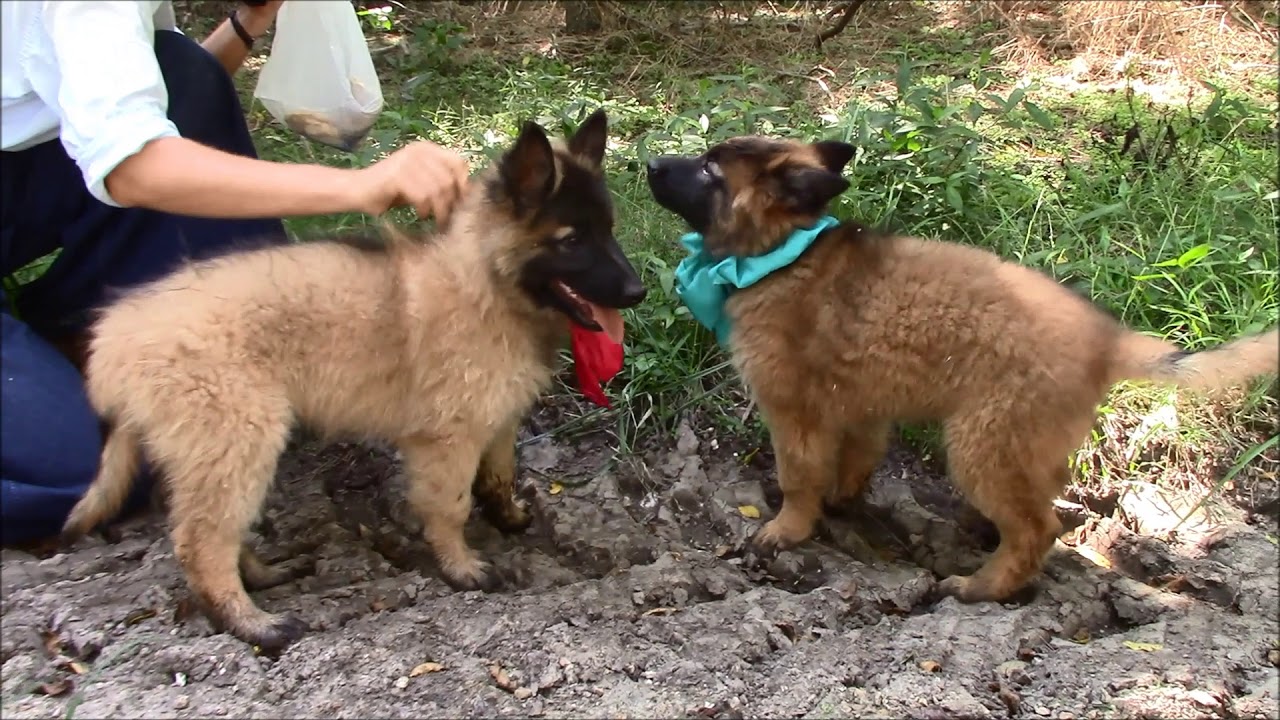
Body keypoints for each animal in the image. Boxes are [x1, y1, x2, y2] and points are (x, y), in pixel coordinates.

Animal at [61, 109, 645, 648]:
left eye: (610, 230)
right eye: (571, 241)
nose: (638, 293)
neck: (488, 284)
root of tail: (114, 337)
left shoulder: (496, 417)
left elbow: (497, 476)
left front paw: (510, 519)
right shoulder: (447, 439)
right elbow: (450, 506)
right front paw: (461, 567)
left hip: (214, 454)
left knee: (220, 530)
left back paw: (263, 576)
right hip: (238, 438)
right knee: (200, 542)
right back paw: (252, 623)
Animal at [650, 133, 1280, 599]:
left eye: (709, 172)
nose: (650, 161)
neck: (784, 255)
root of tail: (1110, 340)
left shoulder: (794, 410)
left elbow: (798, 477)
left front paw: (788, 529)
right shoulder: (860, 407)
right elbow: (854, 463)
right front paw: (842, 503)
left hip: (985, 440)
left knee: (1036, 530)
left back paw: (984, 587)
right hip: (1025, 442)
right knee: (1041, 499)